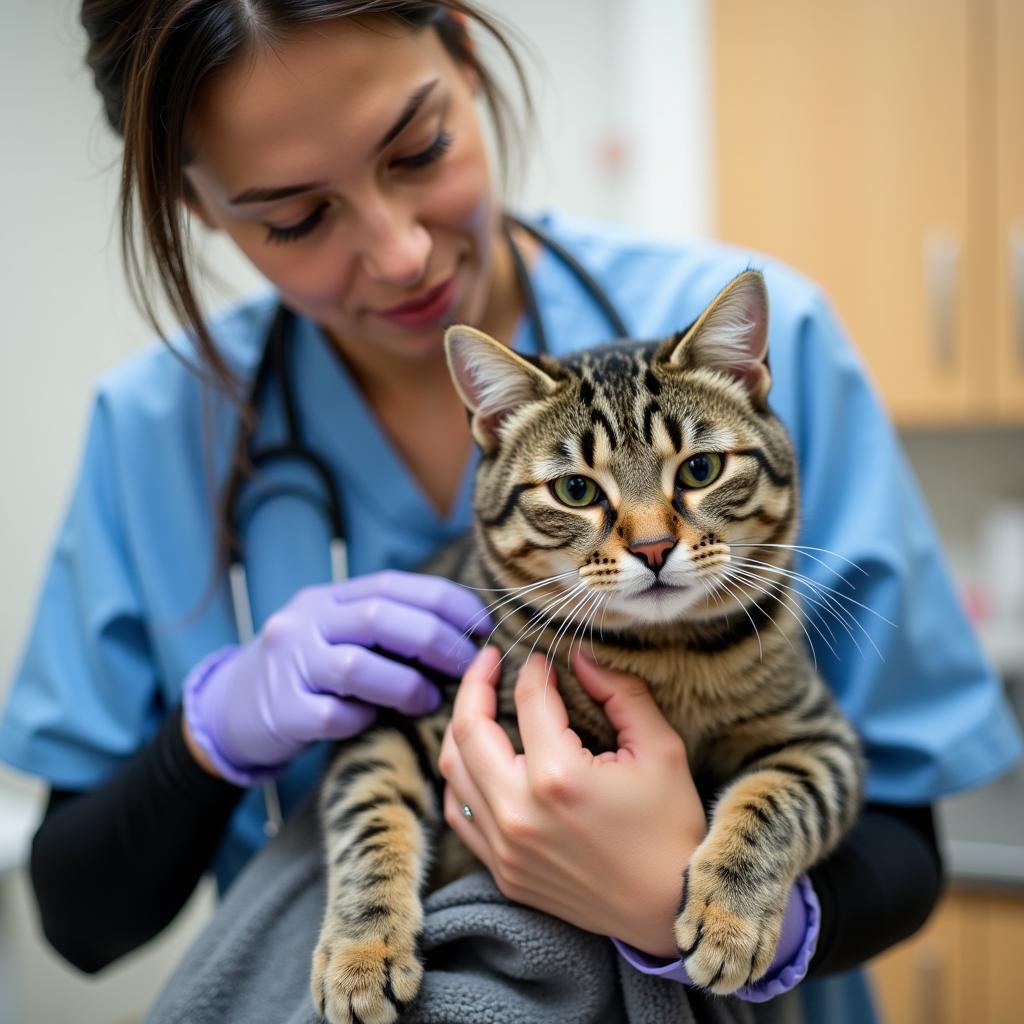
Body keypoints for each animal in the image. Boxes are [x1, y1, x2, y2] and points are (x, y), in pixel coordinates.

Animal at [309, 268, 864, 1019]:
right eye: (575, 489)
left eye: (700, 470)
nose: (654, 547)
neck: (663, 654)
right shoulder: (397, 724)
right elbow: (369, 818)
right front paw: (361, 952)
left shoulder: (820, 737)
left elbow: (774, 800)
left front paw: (730, 918)